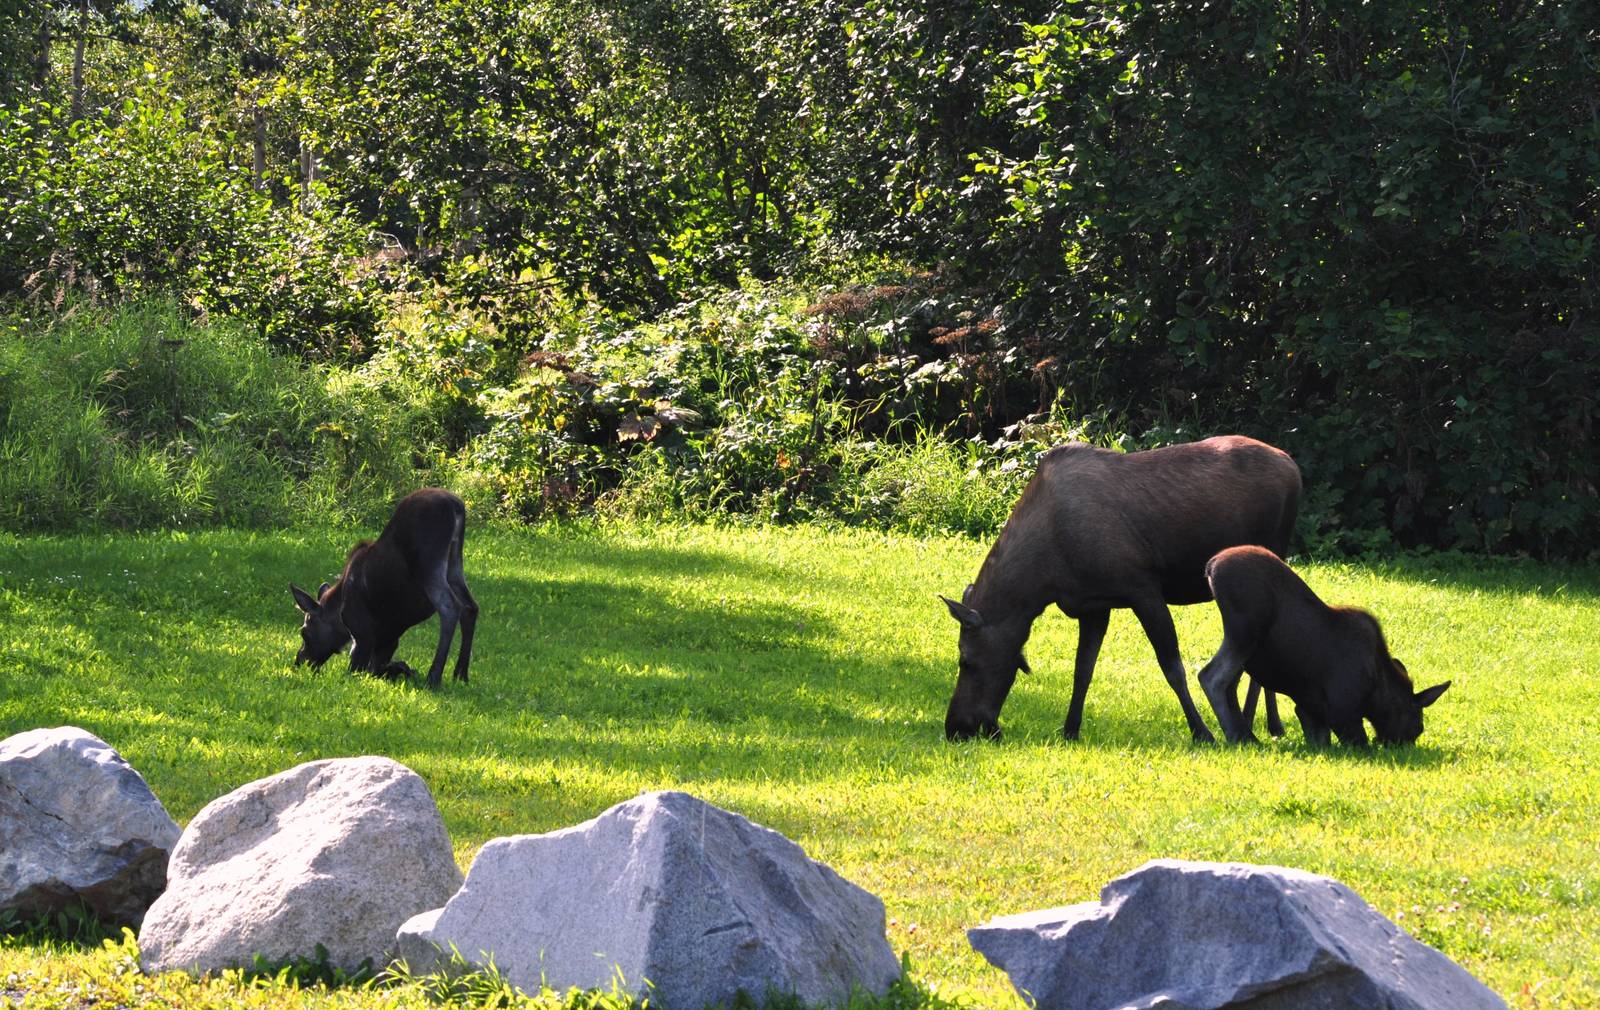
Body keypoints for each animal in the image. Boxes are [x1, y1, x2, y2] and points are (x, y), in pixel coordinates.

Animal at [290, 488, 477, 688]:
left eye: (304, 632)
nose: (299, 660)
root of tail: (456, 506)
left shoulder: (362, 634)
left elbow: (358, 669)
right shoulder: (389, 638)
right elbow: (380, 668)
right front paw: (402, 670)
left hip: (428, 565)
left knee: (450, 607)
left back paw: (434, 676)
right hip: (454, 564)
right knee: (470, 607)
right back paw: (461, 674)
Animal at [941, 435, 1301, 742]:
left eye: (965, 660)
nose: (956, 727)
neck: (1043, 580)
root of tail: (1293, 467)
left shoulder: (1143, 589)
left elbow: (1173, 668)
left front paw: (1202, 732)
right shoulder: (1093, 606)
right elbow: (1082, 670)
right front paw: (1070, 730)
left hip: (1273, 553)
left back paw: (1256, 723)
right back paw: (1266, 723)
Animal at [1197, 545, 1449, 746]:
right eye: (1418, 727)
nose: (1405, 745)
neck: (1378, 691)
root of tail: (1211, 566)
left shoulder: (1309, 710)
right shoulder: (1341, 712)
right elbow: (1360, 742)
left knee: (1228, 683)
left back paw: (1245, 734)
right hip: (1245, 634)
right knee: (1212, 676)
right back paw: (1237, 735)